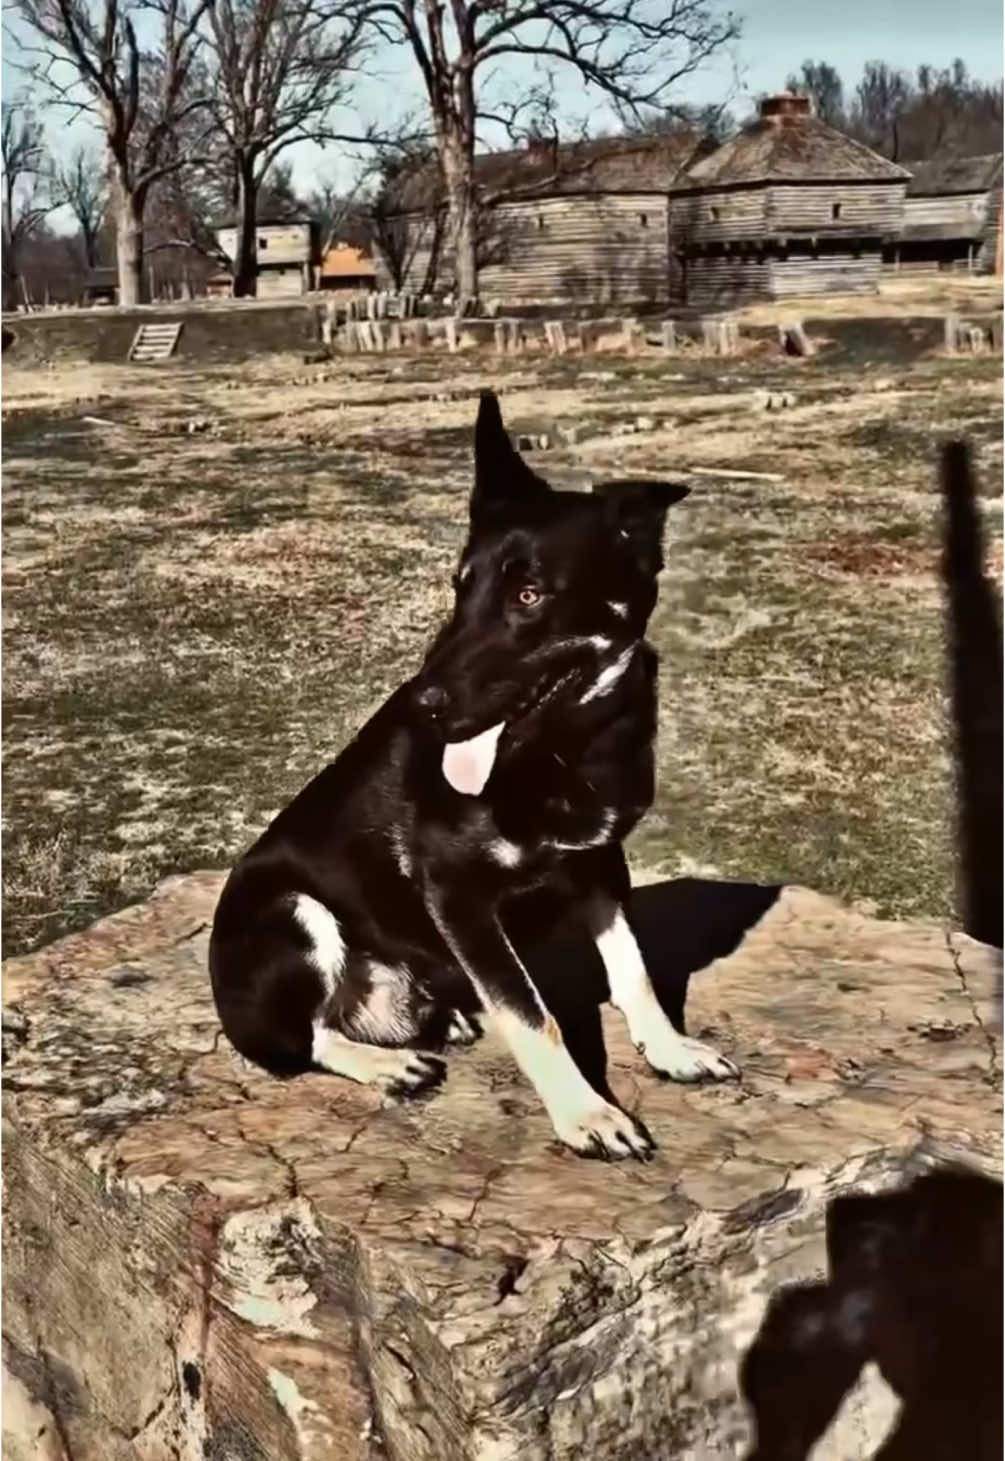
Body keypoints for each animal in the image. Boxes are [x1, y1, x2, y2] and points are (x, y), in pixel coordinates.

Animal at [207, 391, 733, 1162]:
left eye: (530, 595)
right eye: (461, 588)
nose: (424, 704)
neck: (564, 750)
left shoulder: (600, 863)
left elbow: (631, 968)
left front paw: (667, 1048)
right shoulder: (459, 896)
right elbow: (533, 1014)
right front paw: (585, 1113)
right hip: (293, 912)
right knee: (301, 1038)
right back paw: (386, 1062)